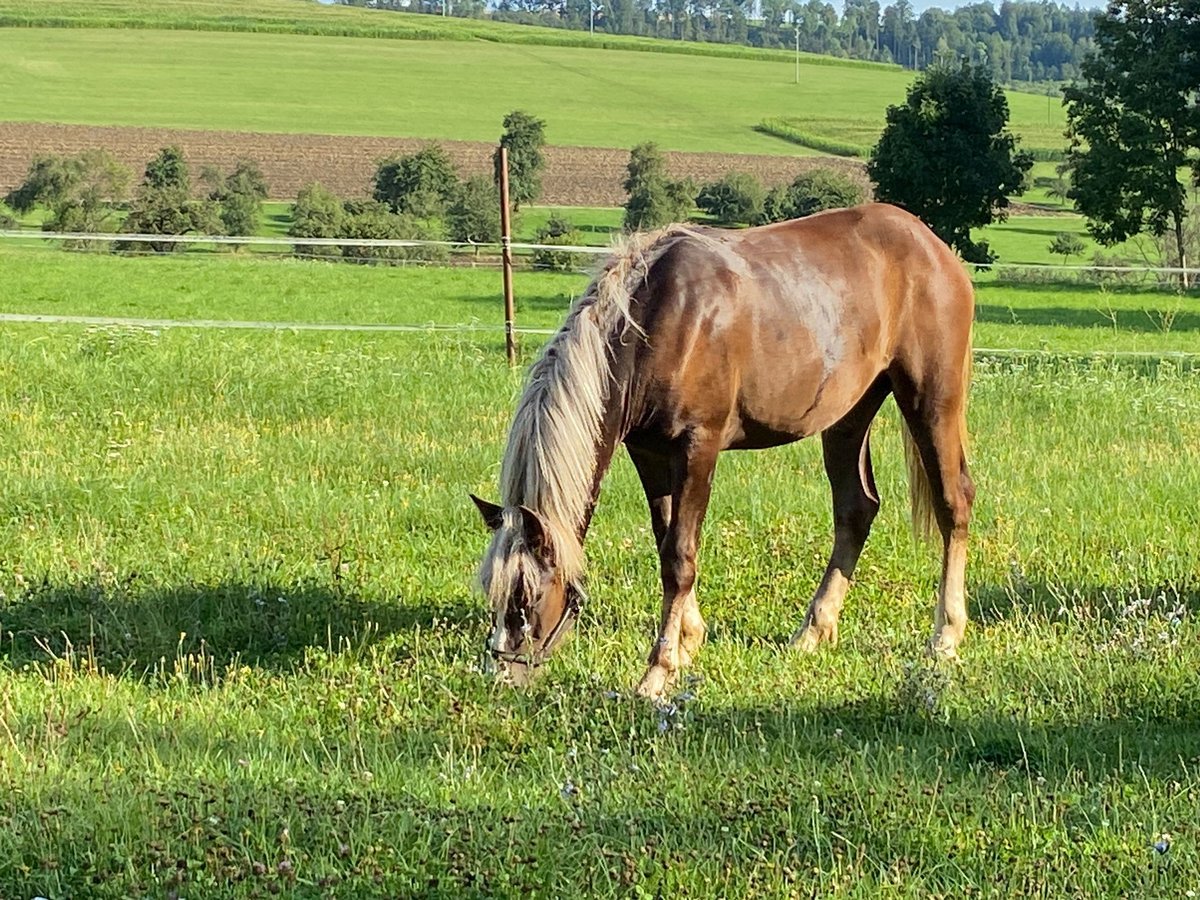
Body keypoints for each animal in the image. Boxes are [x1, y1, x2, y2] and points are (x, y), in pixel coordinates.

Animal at [468, 204, 974, 705]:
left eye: (525, 598)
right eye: (493, 595)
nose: (502, 677)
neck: (661, 320)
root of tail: (934, 247)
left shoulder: (699, 446)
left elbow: (679, 556)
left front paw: (658, 671)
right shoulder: (649, 453)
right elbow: (666, 541)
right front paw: (688, 640)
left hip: (931, 400)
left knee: (954, 503)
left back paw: (945, 638)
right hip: (849, 416)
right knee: (856, 509)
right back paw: (813, 631)